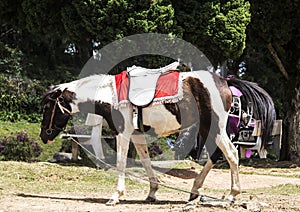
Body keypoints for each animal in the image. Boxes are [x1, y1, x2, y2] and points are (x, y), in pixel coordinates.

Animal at [40, 66, 276, 205]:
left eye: (47, 107)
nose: (44, 135)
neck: (109, 94)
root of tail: (225, 81)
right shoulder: (137, 135)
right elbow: (145, 161)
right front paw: (152, 192)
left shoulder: (123, 133)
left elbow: (121, 162)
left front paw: (116, 196)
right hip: (208, 129)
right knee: (216, 155)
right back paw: (195, 191)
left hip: (215, 128)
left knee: (231, 155)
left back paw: (232, 195)